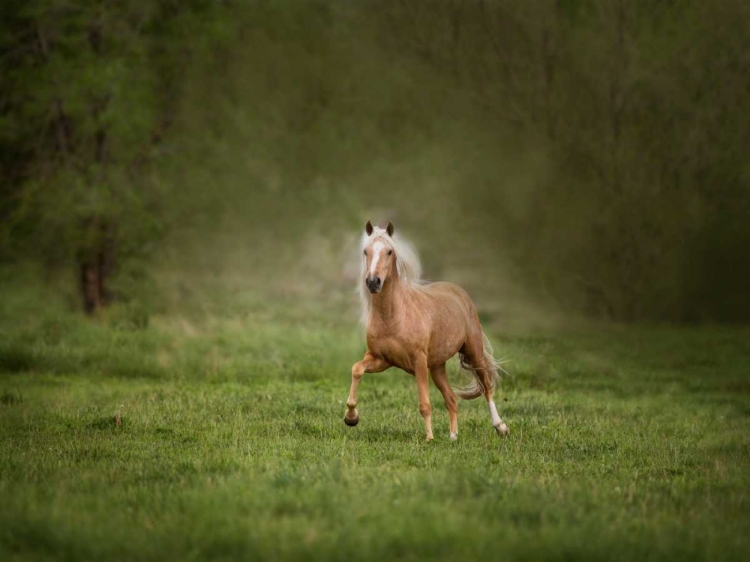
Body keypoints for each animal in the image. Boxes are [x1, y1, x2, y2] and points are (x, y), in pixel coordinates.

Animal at [346, 217, 512, 440]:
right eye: (366, 251)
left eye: (389, 251)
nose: (373, 282)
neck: (393, 317)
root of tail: (458, 292)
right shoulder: (381, 359)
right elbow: (357, 369)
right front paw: (351, 418)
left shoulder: (418, 361)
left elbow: (424, 403)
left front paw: (429, 438)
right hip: (437, 367)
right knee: (452, 399)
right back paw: (453, 437)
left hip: (473, 350)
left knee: (486, 387)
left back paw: (500, 427)